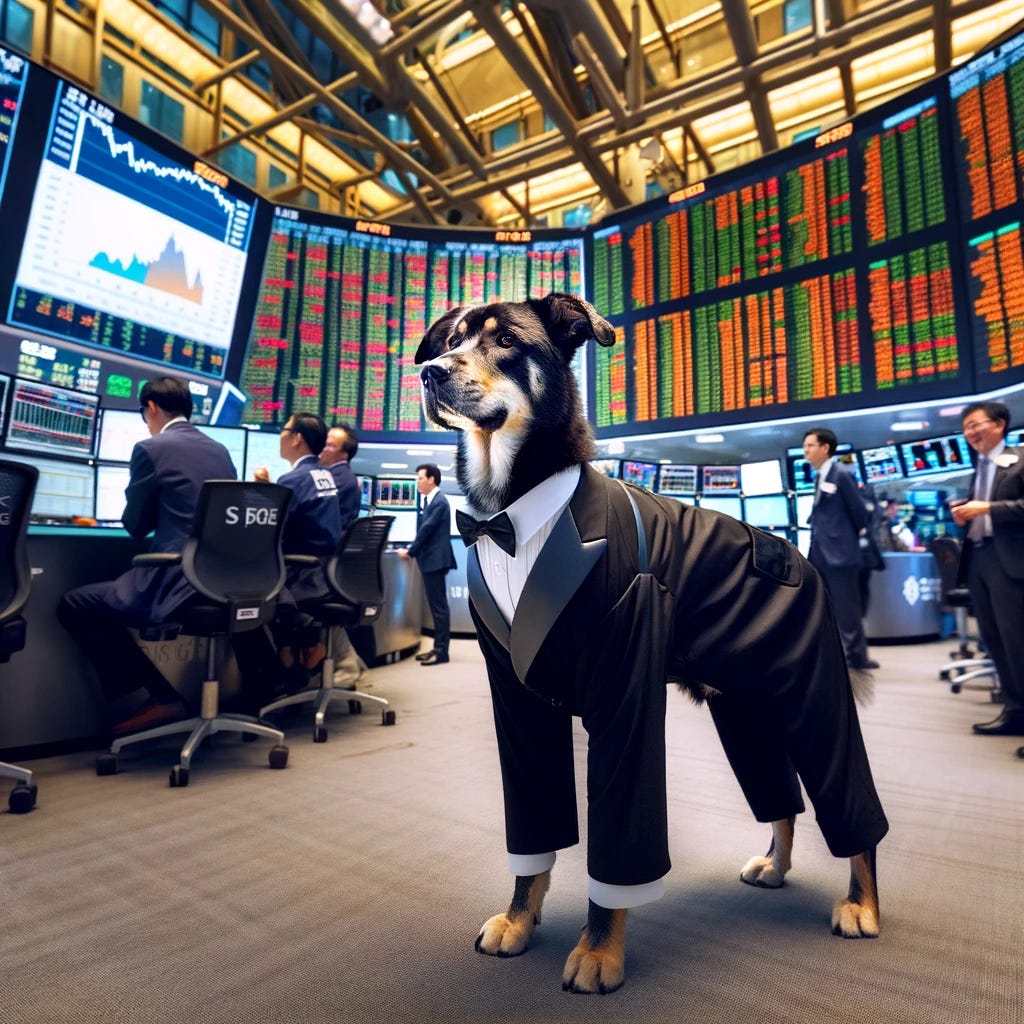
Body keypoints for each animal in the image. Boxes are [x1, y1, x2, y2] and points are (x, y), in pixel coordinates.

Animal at [415, 292, 888, 995]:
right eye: (452, 339)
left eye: (505, 342)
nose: (429, 372)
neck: (513, 514)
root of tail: (791, 552)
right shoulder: (518, 705)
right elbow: (533, 835)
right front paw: (519, 919)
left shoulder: (626, 698)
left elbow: (619, 841)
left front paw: (599, 952)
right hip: (743, 709)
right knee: (781, 798)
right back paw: (775, 865)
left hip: (812, 693)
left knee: (847, 799)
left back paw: (862, 902)